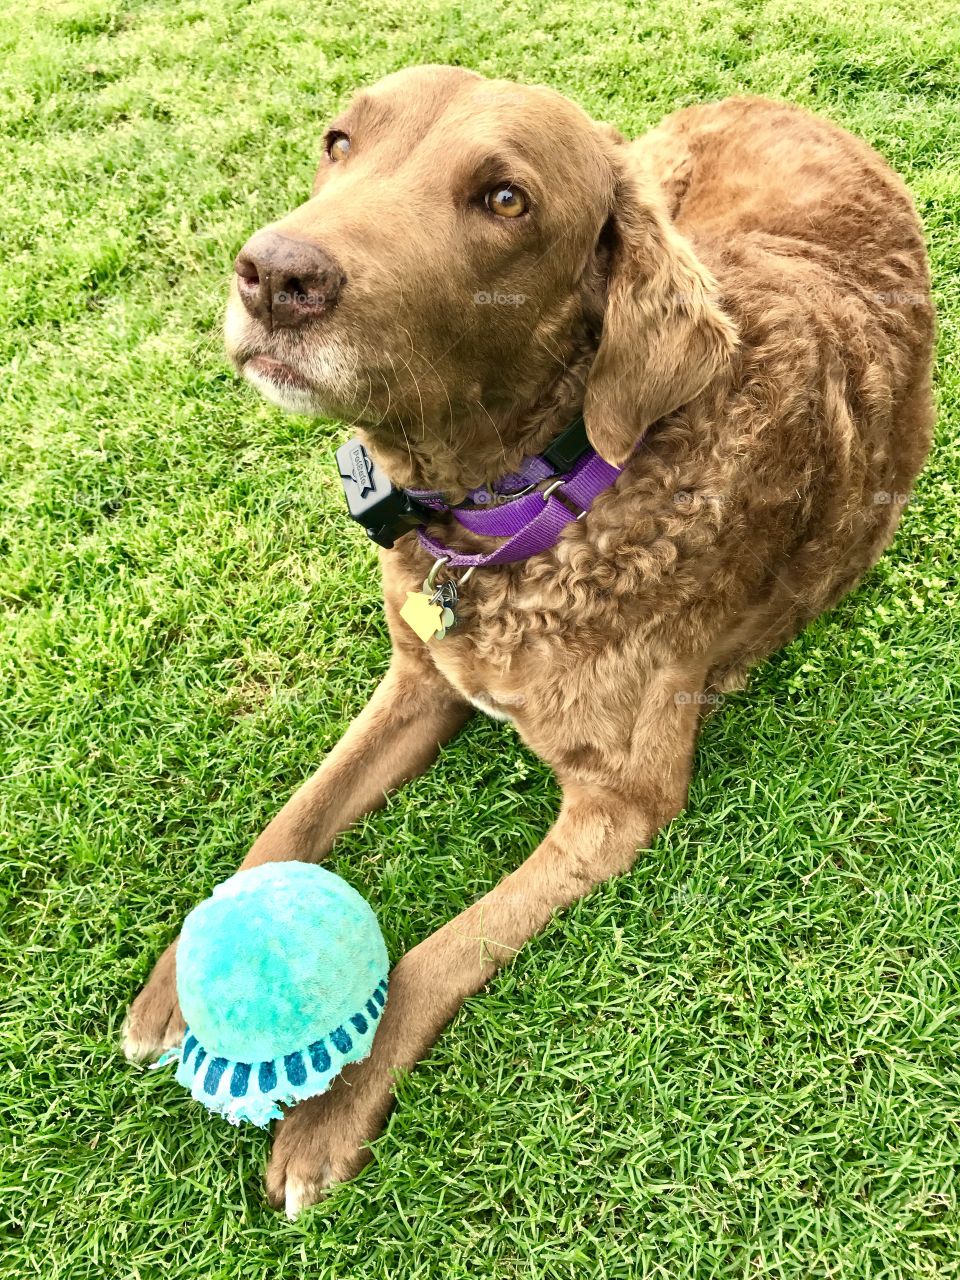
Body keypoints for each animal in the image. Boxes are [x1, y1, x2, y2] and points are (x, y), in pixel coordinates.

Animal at [124, 64, 936, 1213]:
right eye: (339, 141)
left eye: (506, 200)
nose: (275, 274)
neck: (530, 505)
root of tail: (796, 107)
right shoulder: (418, 675)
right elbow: (292, 817)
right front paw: (178, 976)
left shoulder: (620, 804)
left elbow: (444, 948)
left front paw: (332, 1110)